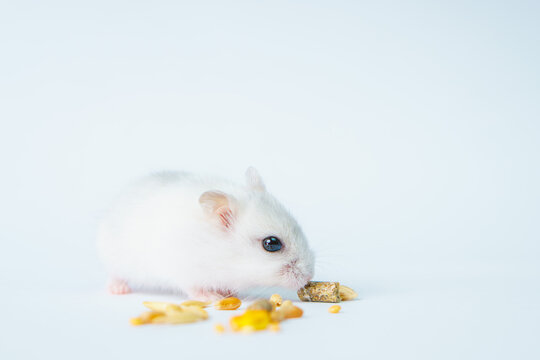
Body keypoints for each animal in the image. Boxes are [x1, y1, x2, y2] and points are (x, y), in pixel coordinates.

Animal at [97, 167, 316, 300]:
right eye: (271, 243)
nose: (308, 277)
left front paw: (229, 293)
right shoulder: (184, 271)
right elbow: (194, 289)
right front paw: (213, 297)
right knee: (114, 275)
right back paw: (119, 290)